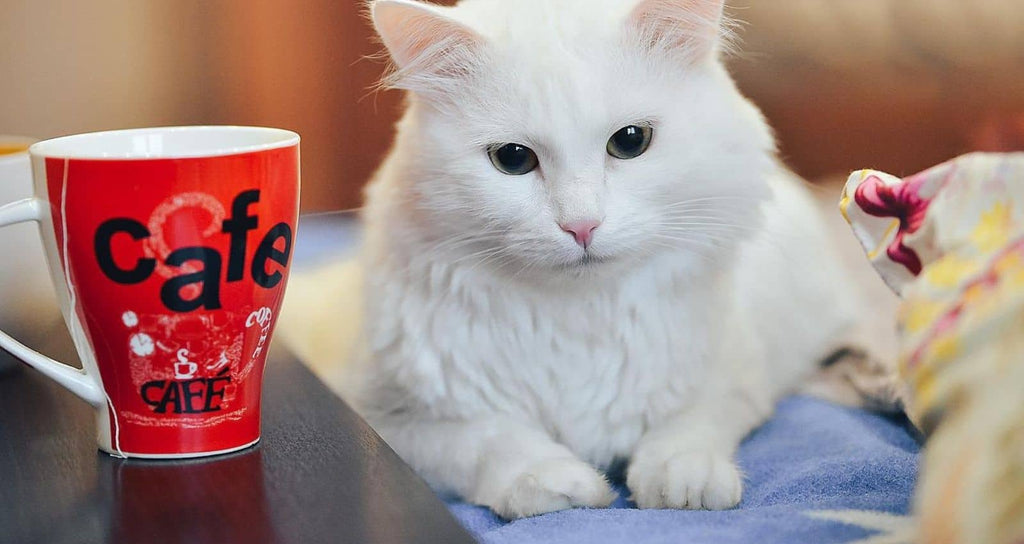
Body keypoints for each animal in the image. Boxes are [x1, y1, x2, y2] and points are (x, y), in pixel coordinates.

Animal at [282, 0, 888, 520]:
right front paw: (559, 484)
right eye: (513, 159)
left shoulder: (735, 377)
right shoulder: (388, 417)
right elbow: (492, 440)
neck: (576, 315)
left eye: (631, 141)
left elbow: (693, 423)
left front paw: (681, 481)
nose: (581, 226)